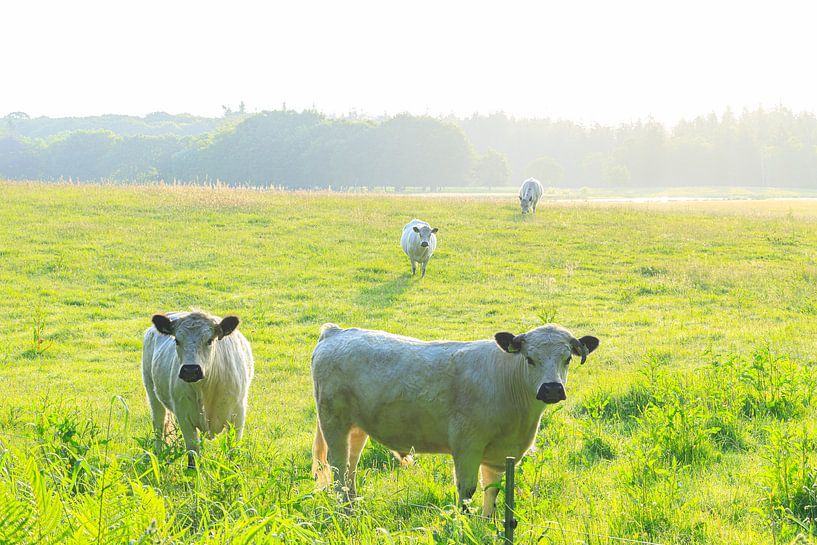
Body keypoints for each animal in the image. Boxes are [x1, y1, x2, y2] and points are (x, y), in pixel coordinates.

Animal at [142, 310, 253, 468]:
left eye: (210, 340)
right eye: (177, 340)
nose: (190, 370)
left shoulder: (238, 414)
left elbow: (233, 449)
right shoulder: (183, 415)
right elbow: (193, 452)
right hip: (152, 393)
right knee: (159, 425)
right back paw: (158, 455)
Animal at [312, 324, 600, 516]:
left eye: (567, 358)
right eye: (529, 359)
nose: (551, 389)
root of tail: (336, 332)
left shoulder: (499, 456)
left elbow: (492, 490)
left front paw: (487, 523)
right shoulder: (467, 446)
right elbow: (467, 491)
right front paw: (464, 525)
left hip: (357, 428)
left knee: (350, 468)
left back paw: (353, 506)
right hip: (333, 422)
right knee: (338, 467)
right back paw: (346, 512)